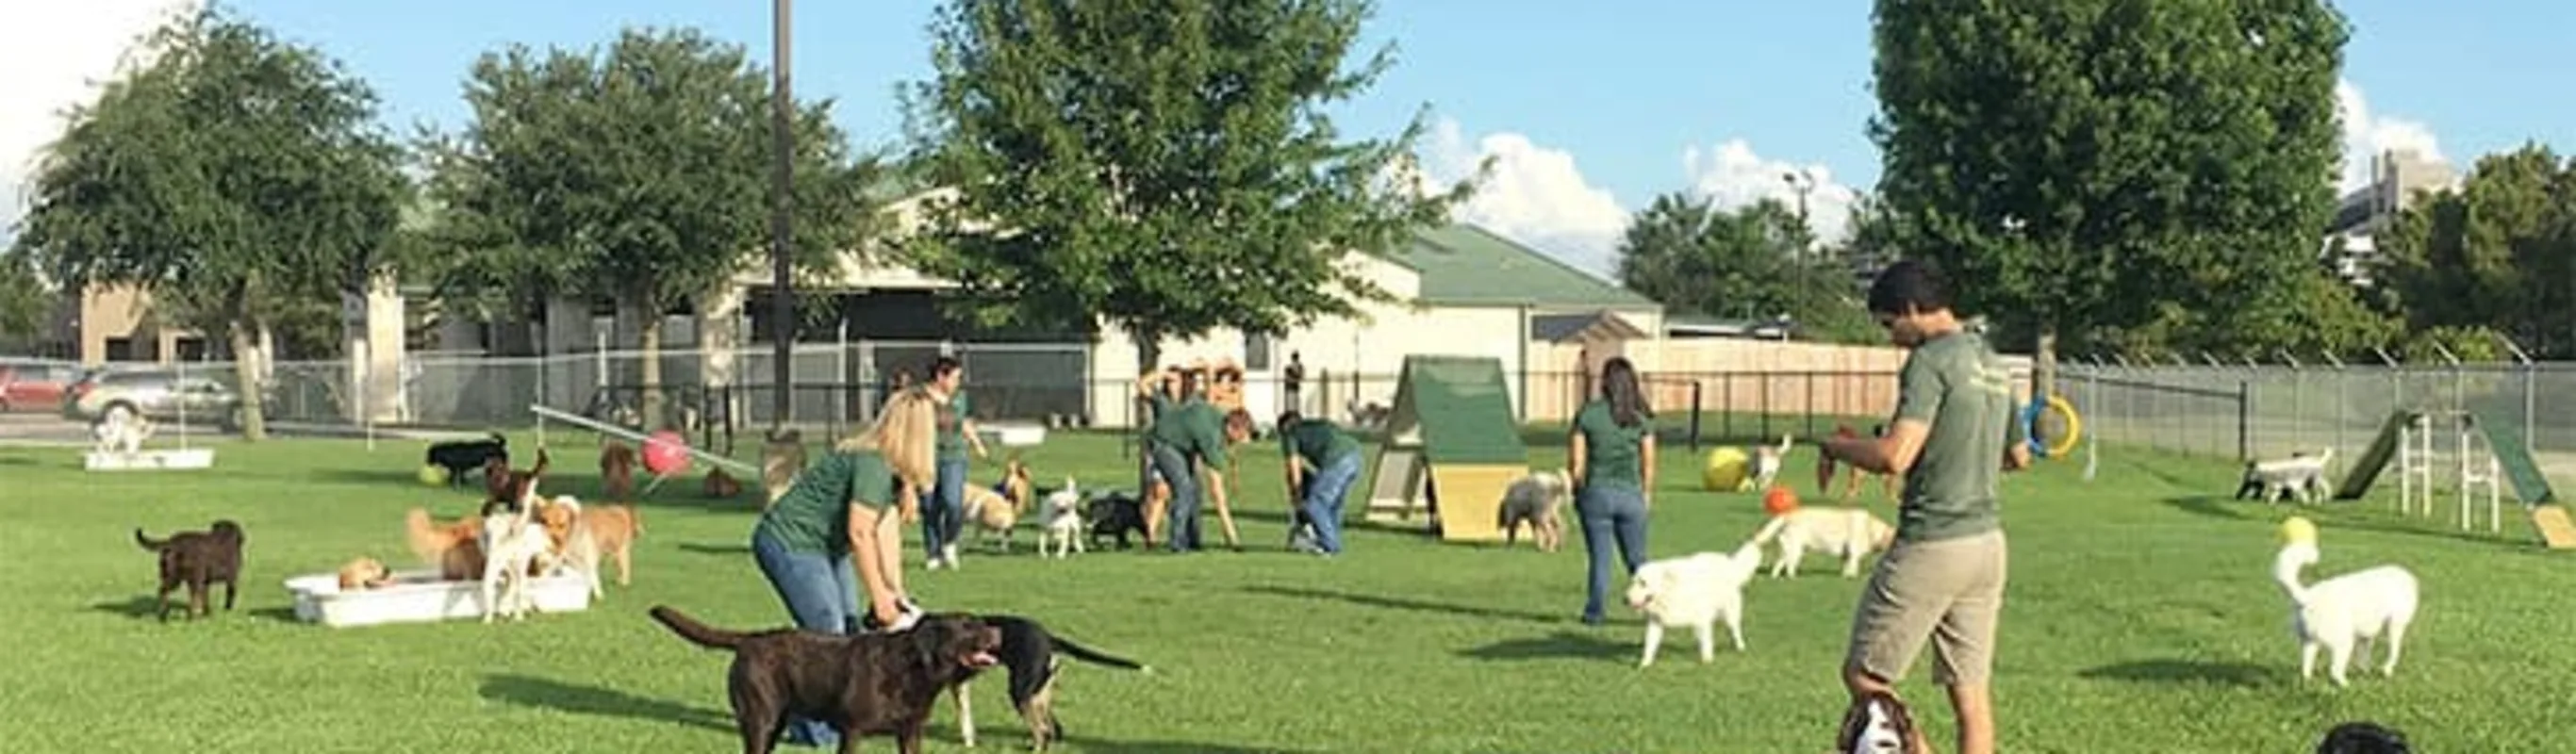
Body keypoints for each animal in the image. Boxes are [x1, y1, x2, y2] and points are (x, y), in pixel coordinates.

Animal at [649, 601, 999, 751]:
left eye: (981, 622)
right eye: (967, 626)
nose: (997, 631)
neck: (912, 671)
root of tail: (750, 639)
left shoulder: (911, 733)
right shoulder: (853, 730)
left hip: (776, 721)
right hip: (759, 718)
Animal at [942, 610, 1153, 746]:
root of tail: (1048, 637)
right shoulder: (958, 685)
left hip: (1020, 690)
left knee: (1043, 733)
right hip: (1039, 694)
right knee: (1052, 730)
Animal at [1617, 537, 1761, 664]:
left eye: (1643, 583)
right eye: (1633, 582)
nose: (1625, 600)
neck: (1671, 591)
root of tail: (1729, 563)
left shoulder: (1701, 619)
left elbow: (1706, 642)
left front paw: (1707, 661)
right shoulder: (1656, 621)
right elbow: (1650, 645)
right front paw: (1644, 664)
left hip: (1729, 612)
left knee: (1734, 630)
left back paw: (1740, 647)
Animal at [1741, 504, 1906, 576]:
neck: (1870, 527)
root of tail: (1787, 515)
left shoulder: (1846, 554)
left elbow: (1845, 566)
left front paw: (1845, 576)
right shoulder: (1853, 553)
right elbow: (1853, 566)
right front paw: (1852, 577)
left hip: (1788, 549)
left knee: (1779, 564)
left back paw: (1776, 577)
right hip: (1796, 549)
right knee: (1789, 565)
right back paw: (1792, 577)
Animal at [2277, 516, 2411, 679]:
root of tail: (2307, 597)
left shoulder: (2366, 636)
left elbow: (2364, 656)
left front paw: (2365, 671)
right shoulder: (2395, 625)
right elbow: (2393, 653)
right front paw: (2386, 670)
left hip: (2310, 643)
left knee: (2306, 669)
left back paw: (2309, 680)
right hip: (2344, 643)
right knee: (2334, 671)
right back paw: (2344, 683)